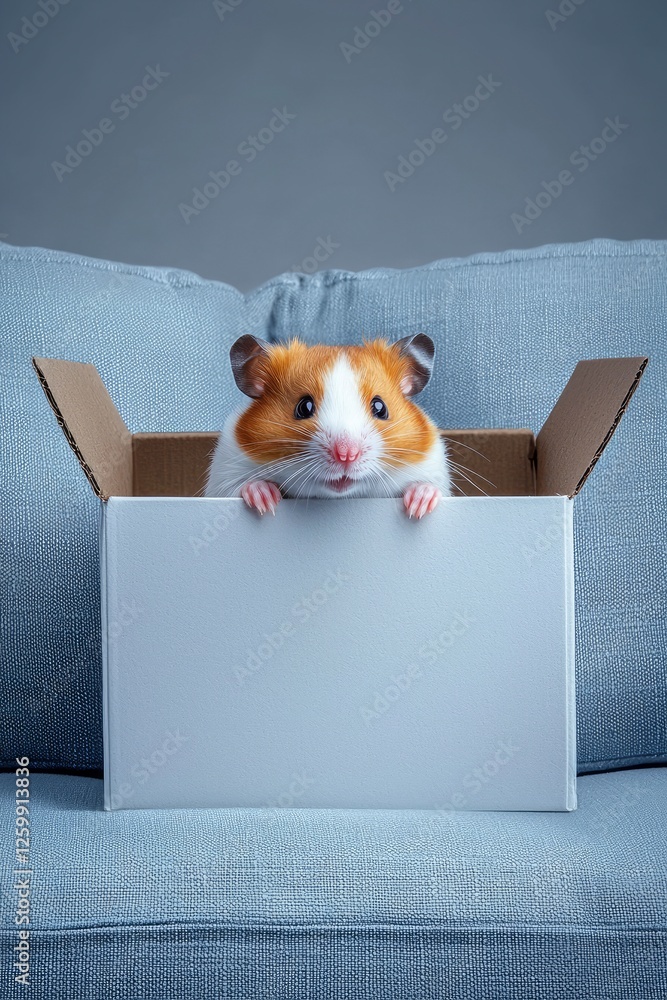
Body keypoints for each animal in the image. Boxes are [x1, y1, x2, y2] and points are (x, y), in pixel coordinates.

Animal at [204, 333, 451, 518]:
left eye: (380, 408)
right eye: (303, 407)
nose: (346, 455)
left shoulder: (435, 469)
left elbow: (432, 486)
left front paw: (420, 504)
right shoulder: (223, 474)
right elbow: (240, 486)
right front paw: (265, 500)